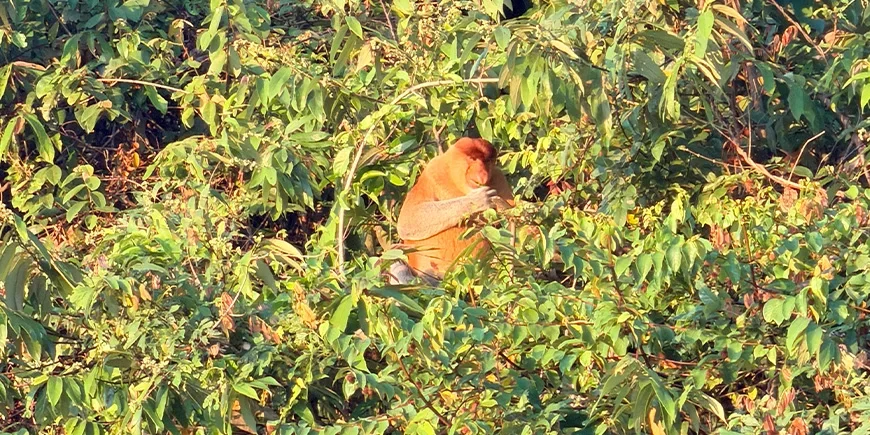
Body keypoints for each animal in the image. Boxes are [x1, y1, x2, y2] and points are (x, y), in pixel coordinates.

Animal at [388, 137, 515, 284]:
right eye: (473, 159)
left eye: (487, 161)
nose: (482, 175)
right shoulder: (433, 170)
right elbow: (409, 219)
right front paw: (479, 200)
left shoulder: (499, 178)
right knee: (396, 254)